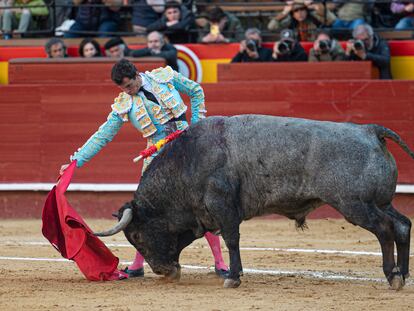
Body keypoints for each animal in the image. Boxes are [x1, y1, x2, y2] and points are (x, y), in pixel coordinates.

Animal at [94, 115, 414, 290]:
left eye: (137, 236)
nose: (163, 271)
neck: (189, 161)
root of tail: (369, 130)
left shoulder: (223, 208)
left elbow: (232, 241)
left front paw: (233, 277)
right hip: (380, 202)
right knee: (402, 225)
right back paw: (404, 273)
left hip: (355, 205)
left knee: (384, 230)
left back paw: (392, 276)